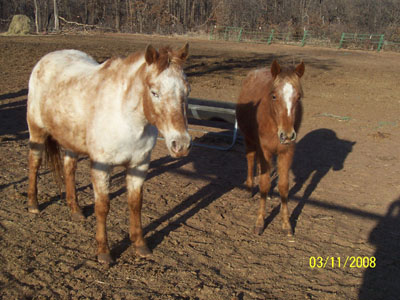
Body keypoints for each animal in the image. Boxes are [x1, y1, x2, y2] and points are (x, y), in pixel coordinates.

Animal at [27, 43, 192, 264]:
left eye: (187, 91)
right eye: (154, 92)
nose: (180, 144)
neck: (126, 119)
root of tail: (46, 58)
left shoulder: (139, 165)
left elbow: (135, 204)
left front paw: (140, 245)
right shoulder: (101, 166)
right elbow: (103, 206)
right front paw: (104, 252)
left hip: (71, 140)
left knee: (69, 168)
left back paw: (75, 210)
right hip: (37, 132)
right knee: (34, 164)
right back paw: (33, 205)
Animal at [236, 59, 304, 236]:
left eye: (298, 97)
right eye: (274, 96)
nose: (287, 135)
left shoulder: (287, 152)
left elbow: (284, 186)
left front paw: (286, 224)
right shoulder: (264, 150)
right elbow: (264, 183)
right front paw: (260, 222)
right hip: (249, 141)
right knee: (251, 161)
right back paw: (249, 189)